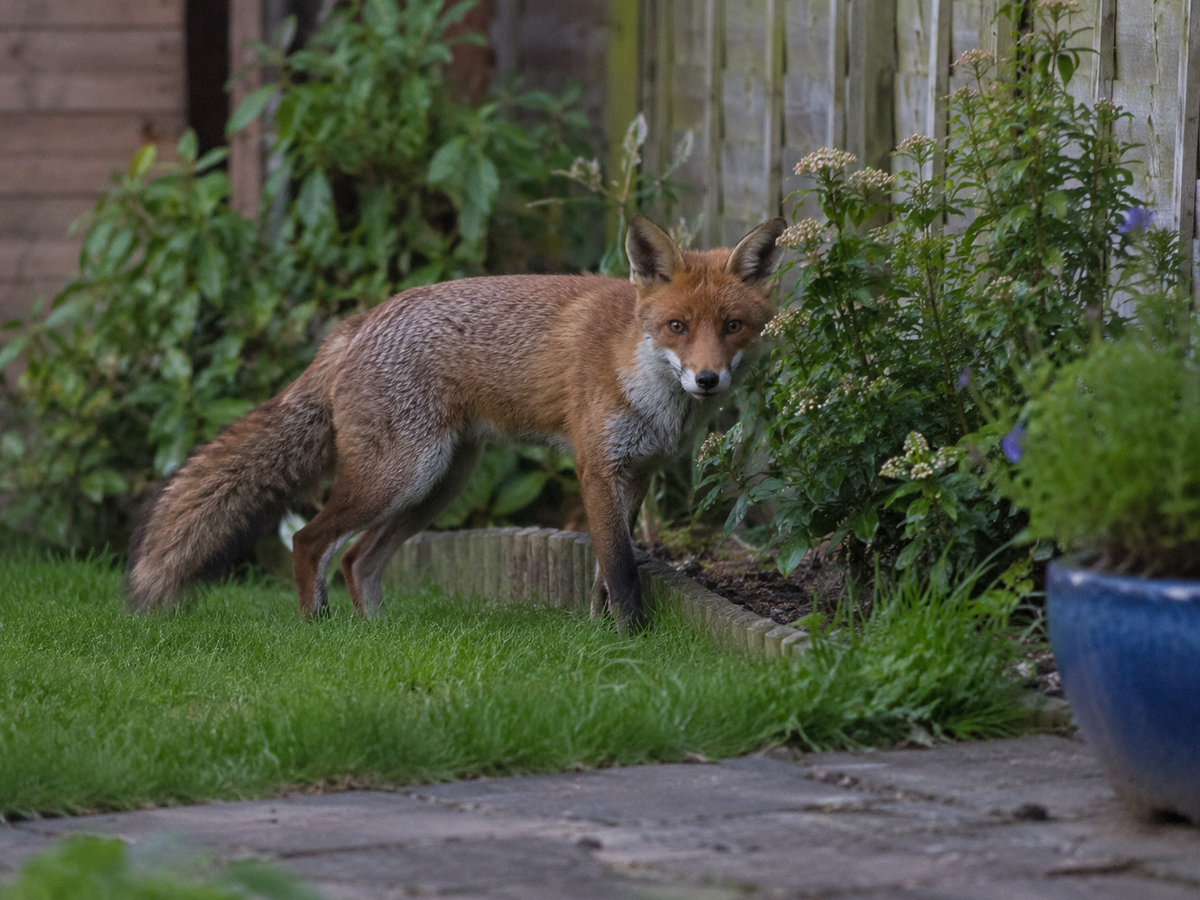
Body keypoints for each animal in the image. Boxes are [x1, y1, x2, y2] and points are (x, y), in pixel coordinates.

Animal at [127, 215, 786, 629]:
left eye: (732, 327)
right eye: (677, 326)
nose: (707, 379)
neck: (638, 366)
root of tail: (358, 323)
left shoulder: (637, 472)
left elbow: (605, 572)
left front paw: (604, 636)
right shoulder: (597, 468)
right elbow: (621, 570)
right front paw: (630, 642)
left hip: (439, 485)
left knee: (357, 559)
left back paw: (378, 637)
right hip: (401, 476)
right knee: (310, 540)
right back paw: (319, 630)